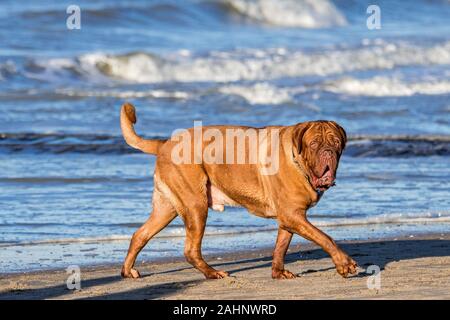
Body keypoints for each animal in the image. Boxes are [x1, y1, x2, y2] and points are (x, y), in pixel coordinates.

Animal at [120, 103, 358, 280]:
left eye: (336, 142)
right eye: (315, 144)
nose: (328, 152)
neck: (297, 159)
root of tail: (164, 144)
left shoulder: (290, 216)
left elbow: (281, 245)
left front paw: (278, 272)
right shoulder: (293, 215)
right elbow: (324, 237)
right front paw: (344, 264)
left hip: (167, 208)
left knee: (140, 234)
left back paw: (128, 270)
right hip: (195, 206)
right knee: (190, 250)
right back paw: (212, 273)